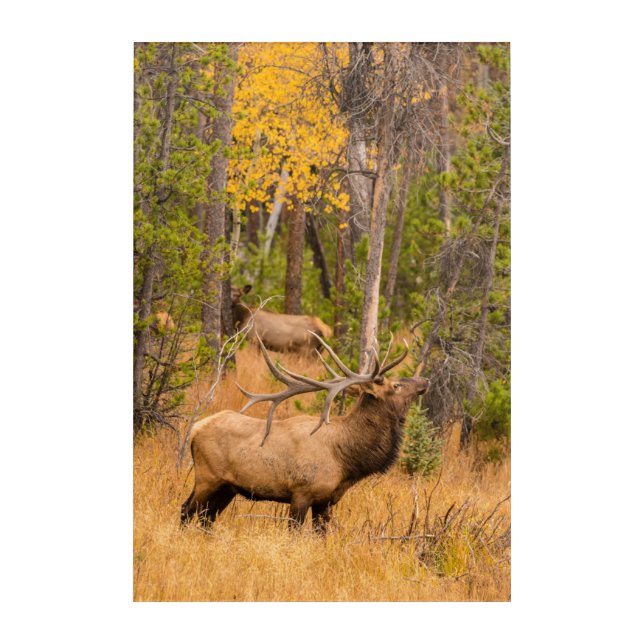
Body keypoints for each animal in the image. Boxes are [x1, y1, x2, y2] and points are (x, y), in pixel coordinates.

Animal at [181, 334, 430, 533]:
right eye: (396, 385)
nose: (425, 380)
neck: (346, 460)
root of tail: (195, 429)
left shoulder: (326, 501)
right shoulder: (301, 492)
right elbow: (295, 532)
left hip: (228, 487)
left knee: (206, 518)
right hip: (207, 476)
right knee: (186, 510)